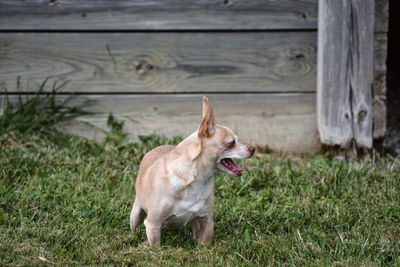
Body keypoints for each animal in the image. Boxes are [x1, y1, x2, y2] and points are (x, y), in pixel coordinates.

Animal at [130, 97, 255, 245]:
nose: (253, 149)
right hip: (136, 214)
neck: (198, 179)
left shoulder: (206, 222)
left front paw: (202, 248)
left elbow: (204, 244)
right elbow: (156, 245)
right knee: (134, 224)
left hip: (196, 221)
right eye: (231, 143)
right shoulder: (153, 224)